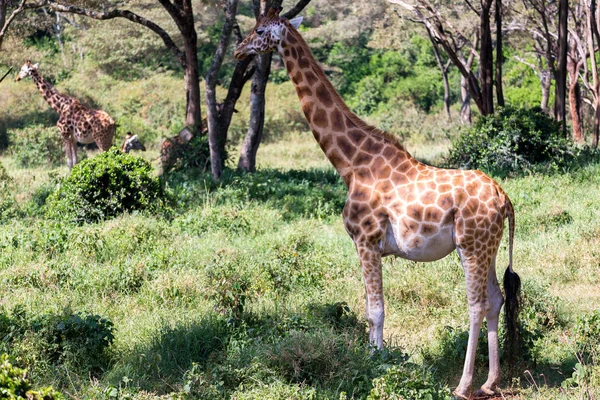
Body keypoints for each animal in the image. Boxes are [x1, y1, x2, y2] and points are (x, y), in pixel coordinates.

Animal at [234, 7, 520, 398]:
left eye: (261, 30)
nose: (238, 51)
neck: (352, 163)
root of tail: (503, 197)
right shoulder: (368, 245)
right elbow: (372, 310)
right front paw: (376, 362)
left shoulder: (366, 240)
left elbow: (375, 310)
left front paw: (375, 366)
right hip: (485, 247)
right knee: (497, 299)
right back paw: (491, 381)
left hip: (472, 246)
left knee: (477, 304)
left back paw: (464, 385)